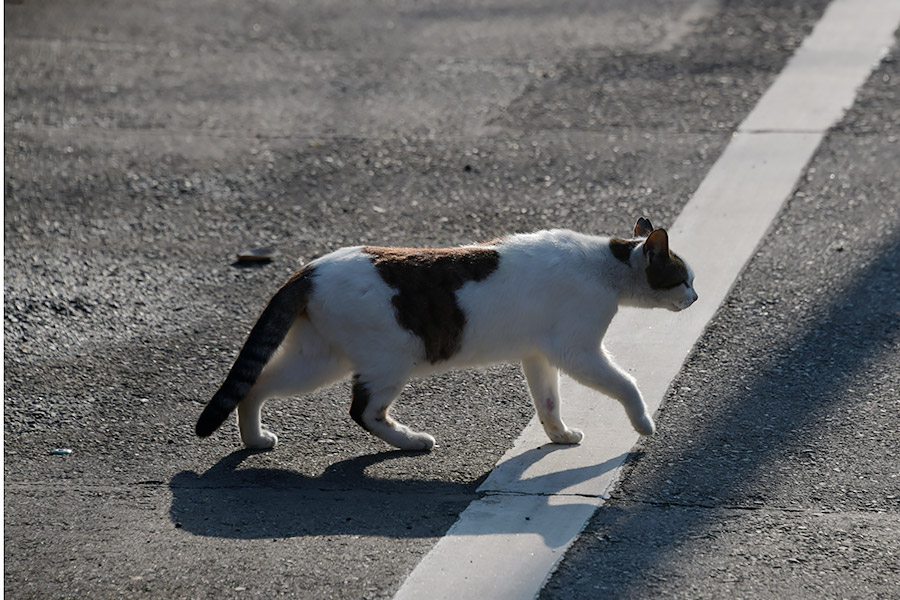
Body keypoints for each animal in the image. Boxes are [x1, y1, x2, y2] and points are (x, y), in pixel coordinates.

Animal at [197, 217, 700, 450]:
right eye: (683, 279)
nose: (696, 297)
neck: (605, 265)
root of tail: (307, 269)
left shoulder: (538, 355)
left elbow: (548, 402)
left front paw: (558, 435)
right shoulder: (577, 351)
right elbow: (626, 384)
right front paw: (643, 423)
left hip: (317, 361)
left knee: (255, 385)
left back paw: (255, 439)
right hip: (389, 360)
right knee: (363, 411)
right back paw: (412, 441)